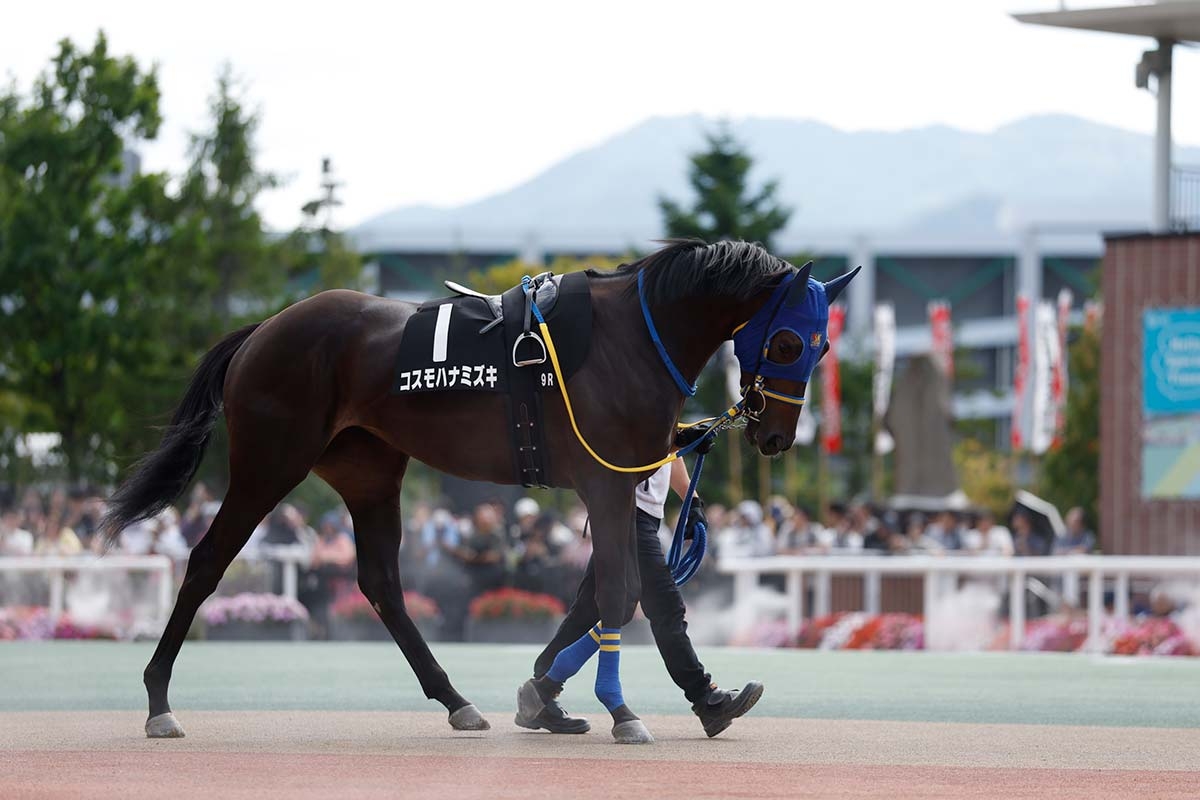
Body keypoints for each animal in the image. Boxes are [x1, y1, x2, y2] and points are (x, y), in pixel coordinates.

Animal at [100, 238, 857, 744]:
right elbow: (619, 593)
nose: (775, 437)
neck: (631, 338)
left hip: (369, 473)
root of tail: (266, 327)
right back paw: (158, 701)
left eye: (821, 347)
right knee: (207, 561)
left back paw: (455, 699)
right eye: (789, 342)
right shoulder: (605, 482)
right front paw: (620, 710)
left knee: (381, 584)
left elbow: (617, 593)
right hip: (269, 463)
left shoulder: (614, 485)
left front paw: (578, 699)